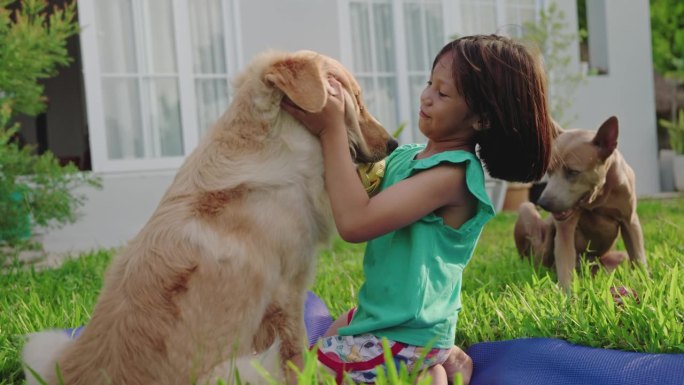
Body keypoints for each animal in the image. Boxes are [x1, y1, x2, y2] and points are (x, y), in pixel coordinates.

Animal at [22, 50, 396, 384]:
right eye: (357, 100)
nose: (393, 143)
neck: (278, 145)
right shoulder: (286, 294)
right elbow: (296, 353)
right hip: (243, 368)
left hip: (44, 344)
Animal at [512, 115, 648, 290]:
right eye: (549, 171)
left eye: (573, 172)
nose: (543, 203)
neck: (598, 198)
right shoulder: (565, 230)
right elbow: (565, 269)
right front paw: (567, 297)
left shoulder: (630, 221)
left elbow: (638, 258)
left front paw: (646, 285)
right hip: (527, 210)